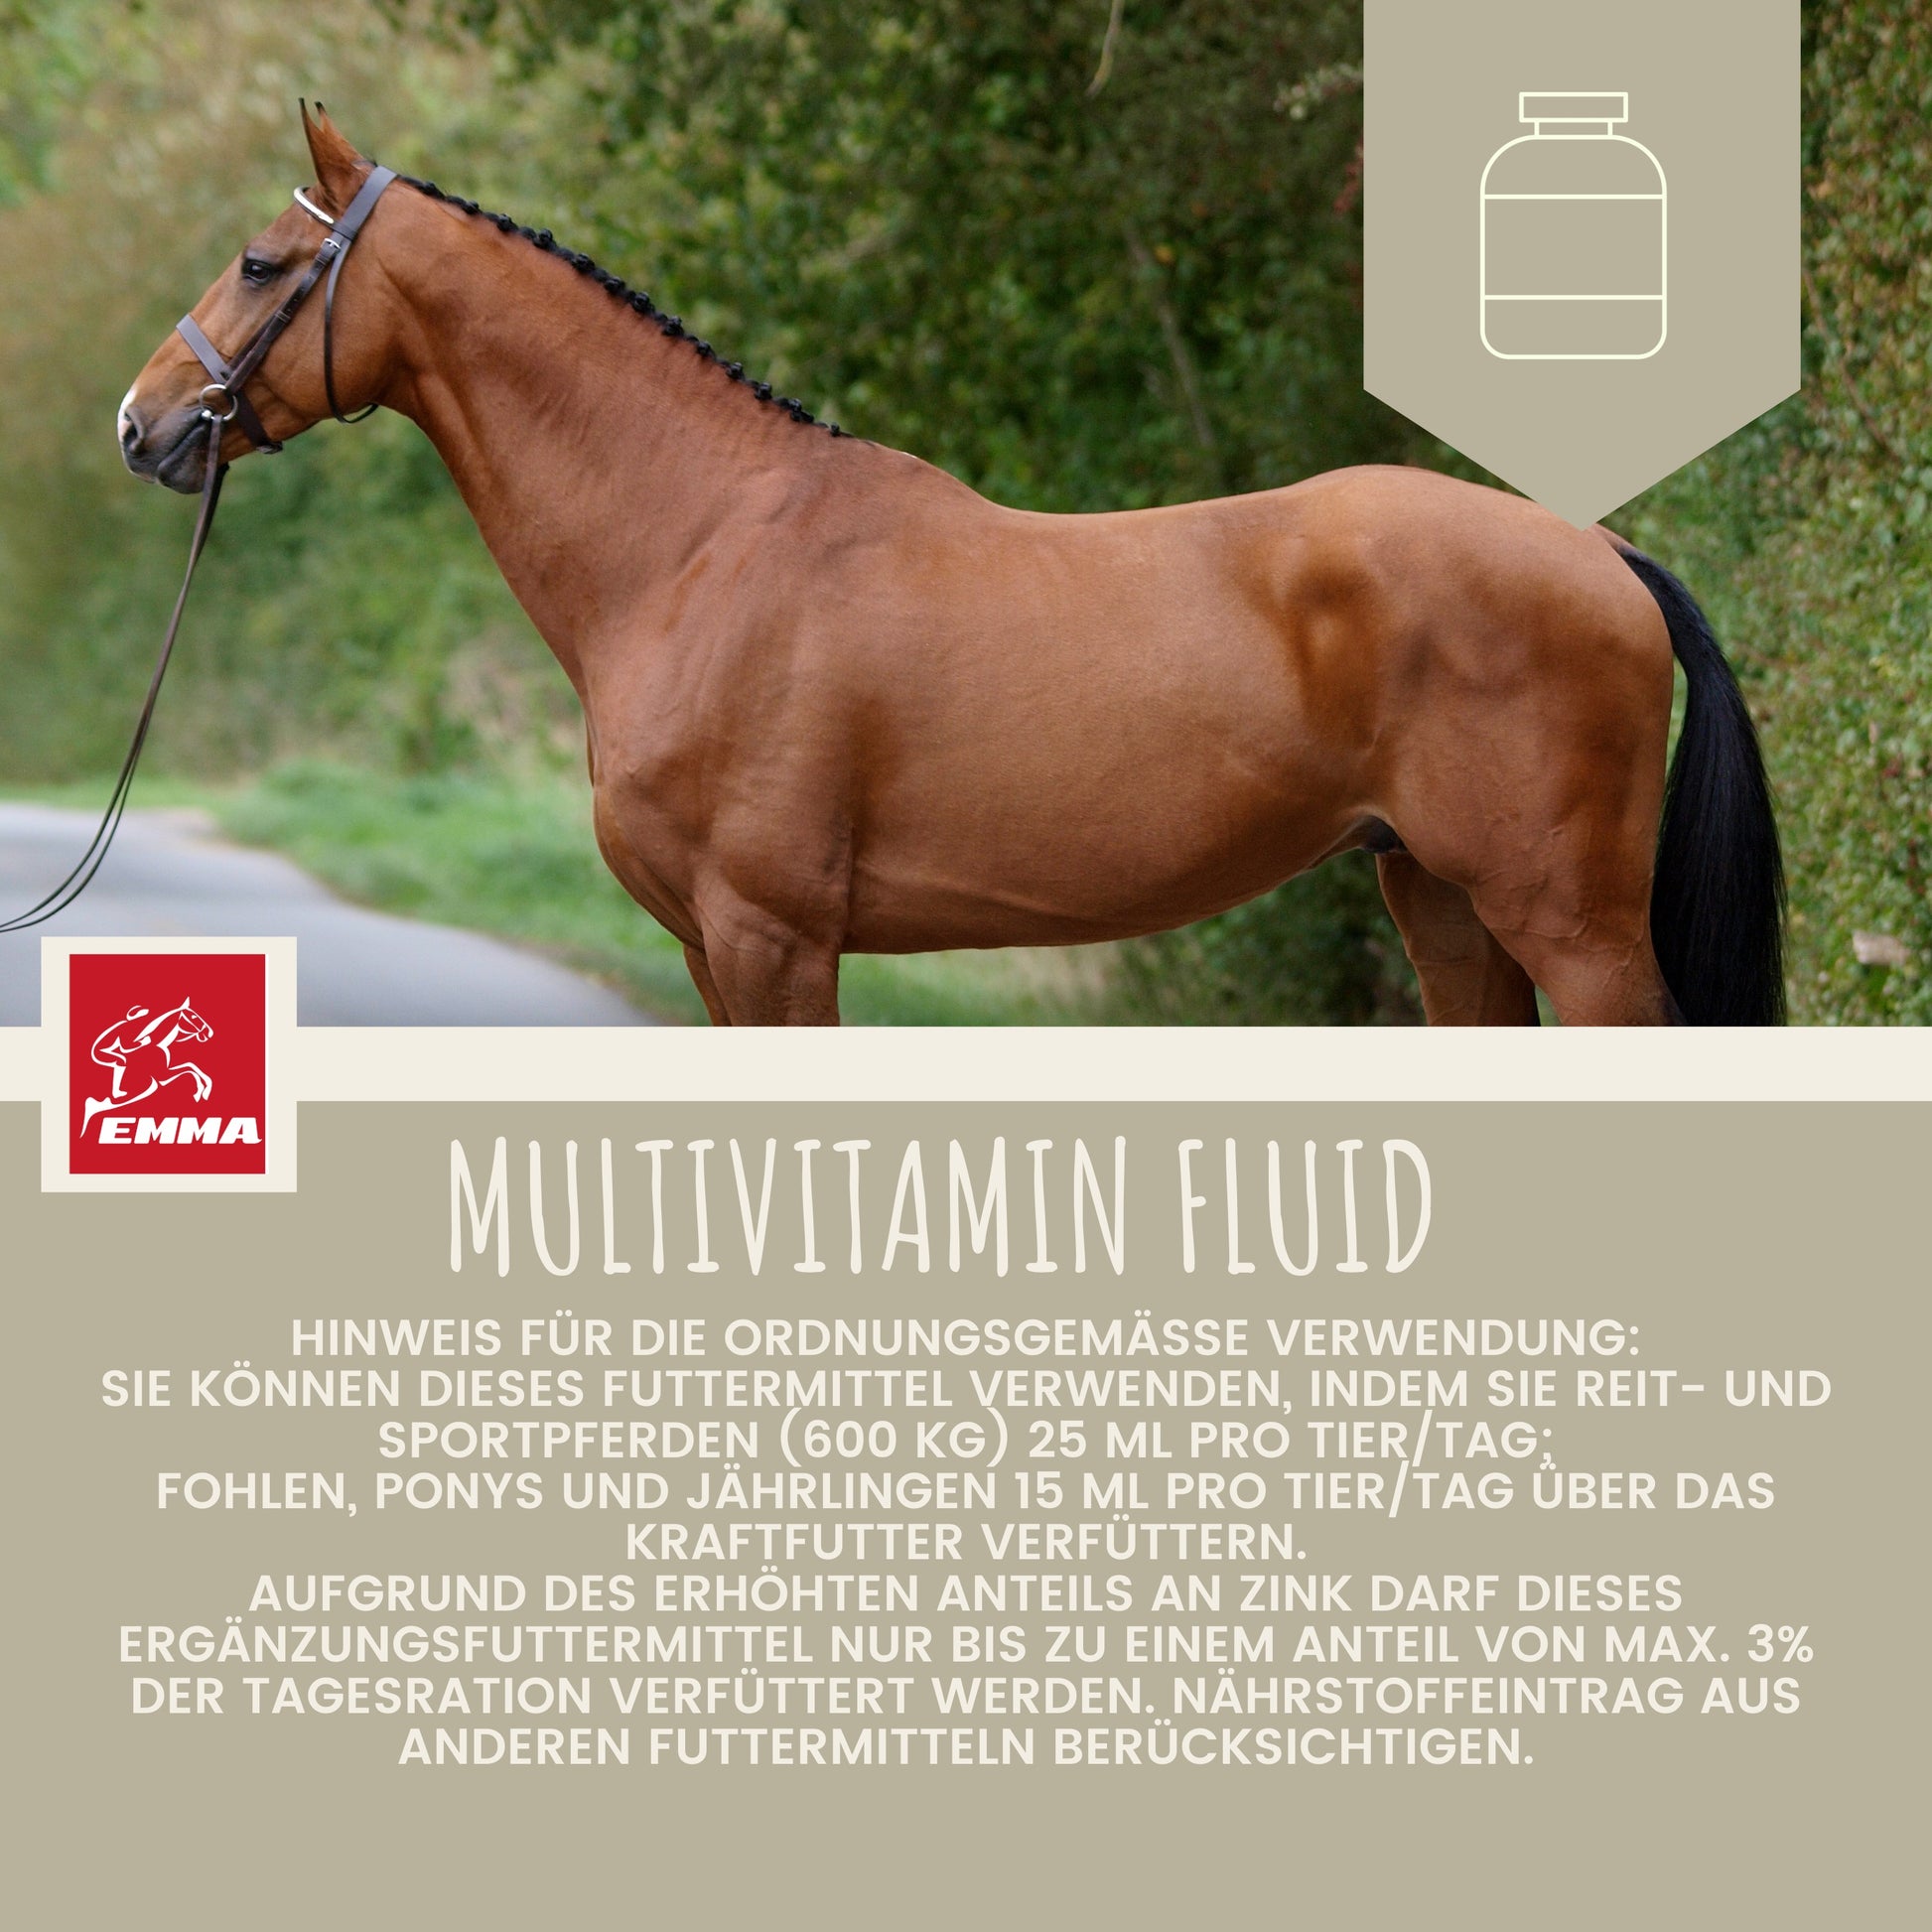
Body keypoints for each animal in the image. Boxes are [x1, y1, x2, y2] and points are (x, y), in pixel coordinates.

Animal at [117, 108, 1783, 1027]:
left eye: (263, 264)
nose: (144, 424)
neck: (700, 546)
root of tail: (1601, 550)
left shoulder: (771, 939)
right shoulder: (710, 952)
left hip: (1569, 923)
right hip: (1439, 899)